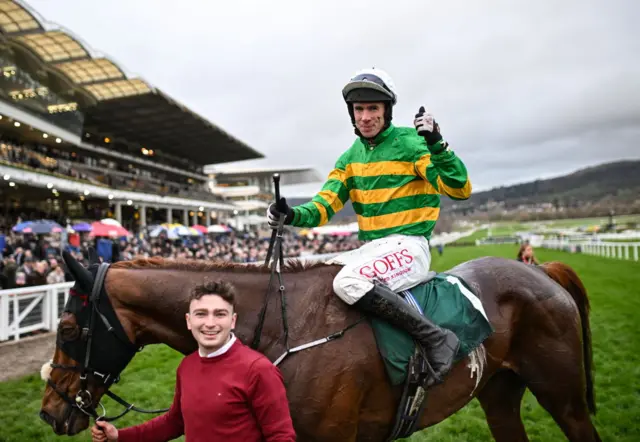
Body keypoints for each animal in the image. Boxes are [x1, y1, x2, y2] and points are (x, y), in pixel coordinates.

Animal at [38, 254, 600, 440]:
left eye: (68, 329)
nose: (48, 412)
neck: (281, 331)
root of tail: (538, 268)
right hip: (499, 395)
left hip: (565, 398)